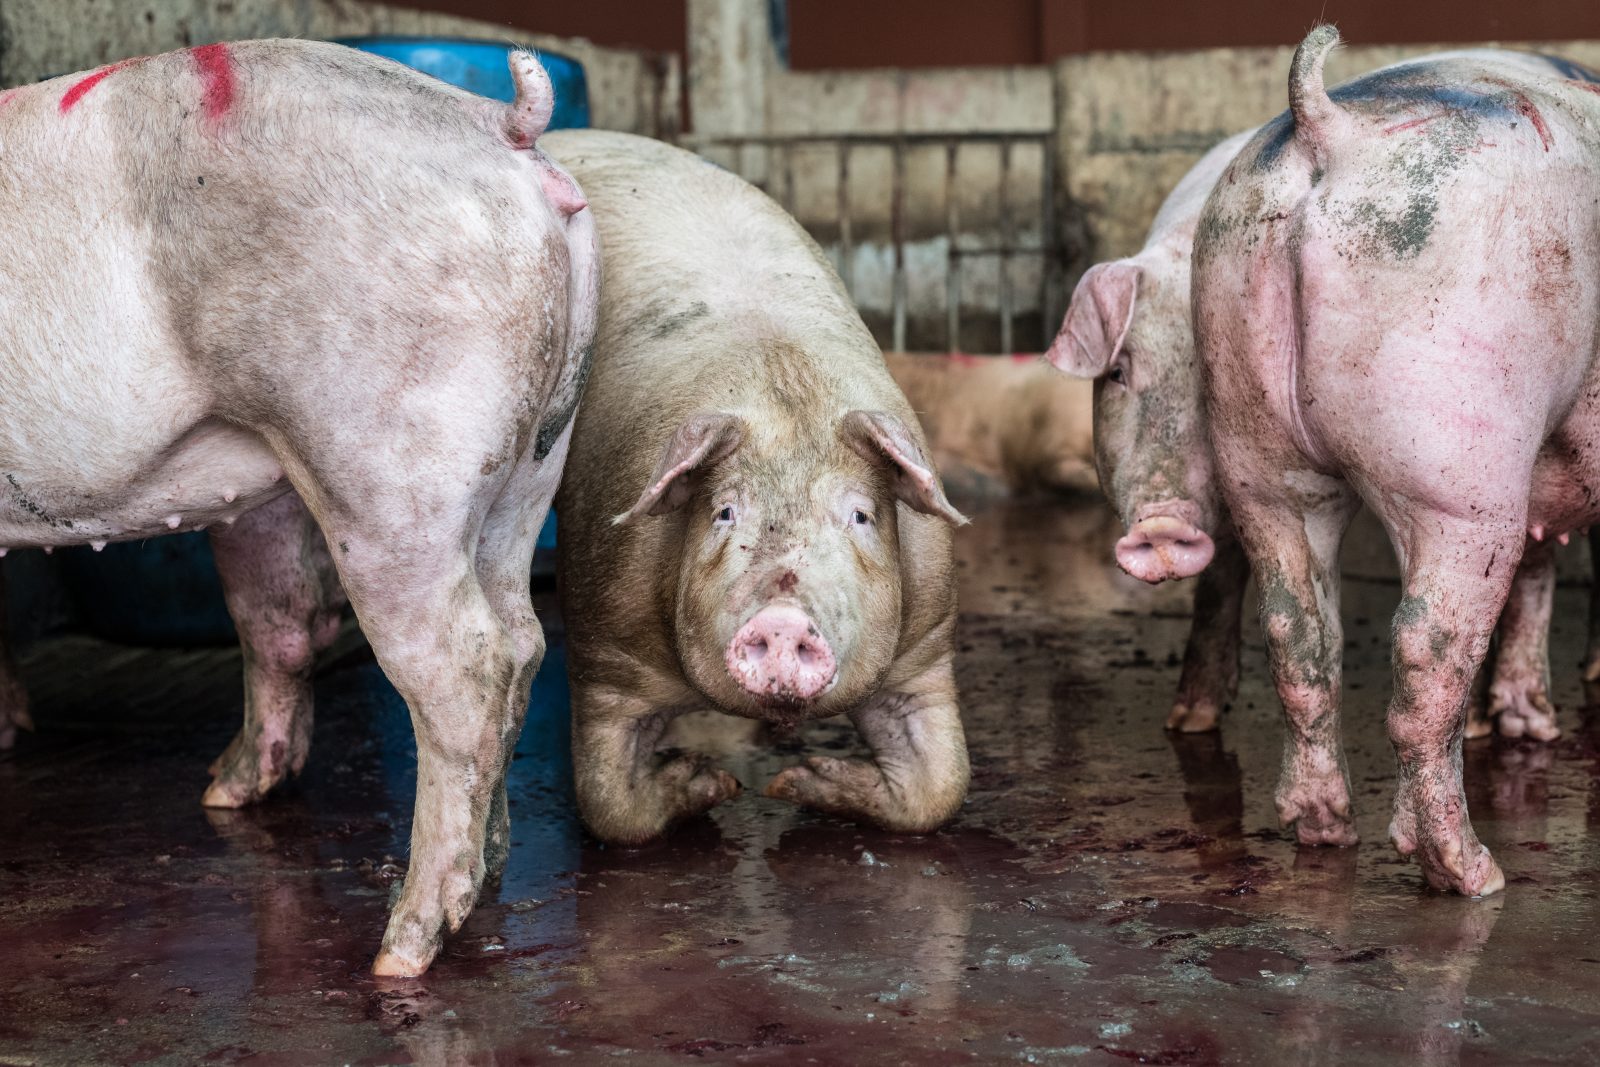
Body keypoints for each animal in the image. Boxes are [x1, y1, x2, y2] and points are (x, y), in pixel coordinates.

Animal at [0, 43, 598, 979]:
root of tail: (501, 126)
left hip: (384, 463)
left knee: (465, 667)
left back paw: (402, 947)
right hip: (534, 458)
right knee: (519, 637)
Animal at [544, 127, 966, 844]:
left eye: (860, 516)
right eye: (723, 512)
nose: (782, 617)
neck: (782, 386)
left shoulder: (927, 643)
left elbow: (943, 787)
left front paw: (793, 783)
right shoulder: (605, 645)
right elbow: (611, 807)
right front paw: (716, 781)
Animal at [1043, 43, 1600, 742]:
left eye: (1203, 380)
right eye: (1118, 373)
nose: (1162, 525)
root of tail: (1326, 122)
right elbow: (1221, 577)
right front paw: (1189, 721)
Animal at [1190, 22, 1600, 895]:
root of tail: (1327, 126)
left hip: (1253, 442)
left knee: (1300, 631)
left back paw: (1324, 829)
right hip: (1462, 459)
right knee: (1425, 649)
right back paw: (1470, 871)